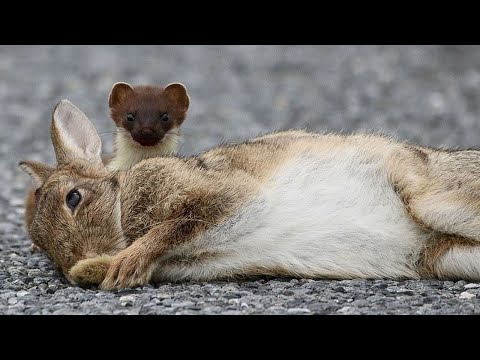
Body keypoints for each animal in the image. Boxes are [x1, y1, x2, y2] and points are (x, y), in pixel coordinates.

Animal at [19, 99, 480, 290]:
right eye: (39, 244)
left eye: (74, 199)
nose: (74, 263)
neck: (121, 195)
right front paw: (96, 271)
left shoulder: (221, 194)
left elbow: (177, 224)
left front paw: (123, 268)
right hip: (443, 256)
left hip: (428, 199)